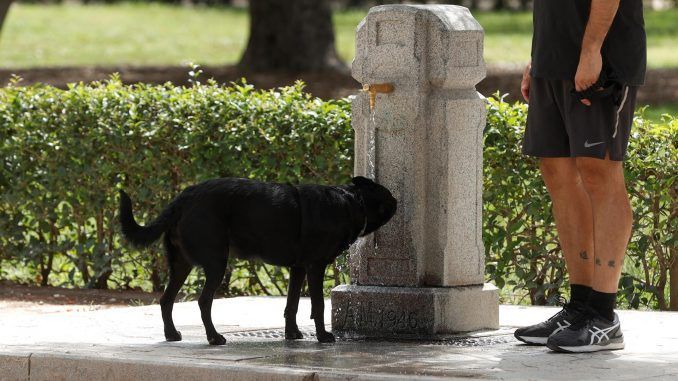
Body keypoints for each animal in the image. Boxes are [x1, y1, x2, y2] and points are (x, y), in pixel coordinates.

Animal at [119, 175, 396, 344]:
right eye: (388, 196)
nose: (397, 200)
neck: (351, 203)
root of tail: (185, 196)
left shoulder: (298, 269)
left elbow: (292, 305)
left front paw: (292, 334)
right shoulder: (315, 267)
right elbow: (317, 306)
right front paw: (322, 336)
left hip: (181, 264)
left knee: (166, 300)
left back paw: (171, 334)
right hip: (216, 263)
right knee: (203, 301)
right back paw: (214, 337)